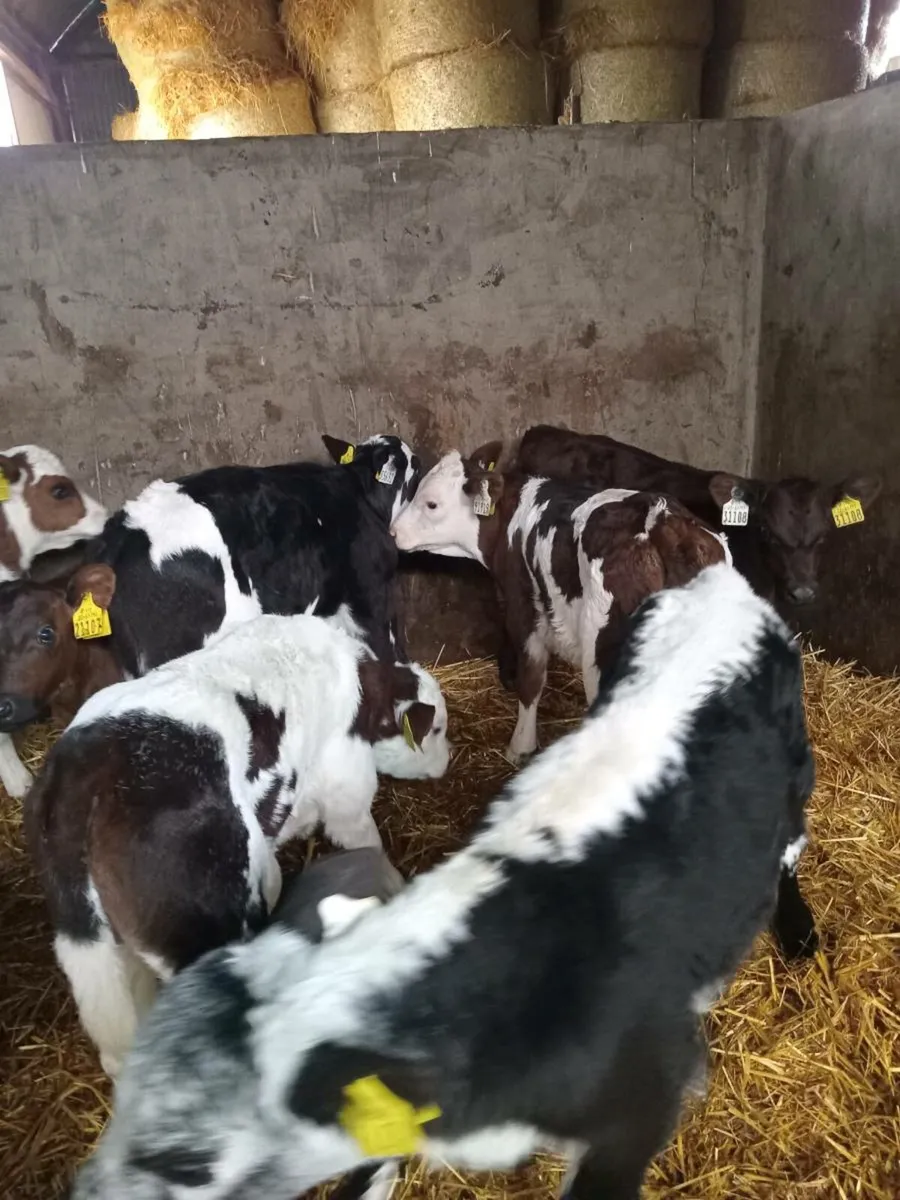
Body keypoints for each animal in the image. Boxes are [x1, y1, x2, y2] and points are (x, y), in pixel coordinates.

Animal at [24, 607, 449, 1078]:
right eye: (436, 729)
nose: (446, 764)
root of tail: (86, 777)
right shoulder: (346, 787)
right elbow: (365, 842)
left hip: (89, 939)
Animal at [390, 442, 729, 765]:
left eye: (431, 503)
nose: (393, 531)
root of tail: (662, 522)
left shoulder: (524, 608)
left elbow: (531, 679)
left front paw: (520, 747)